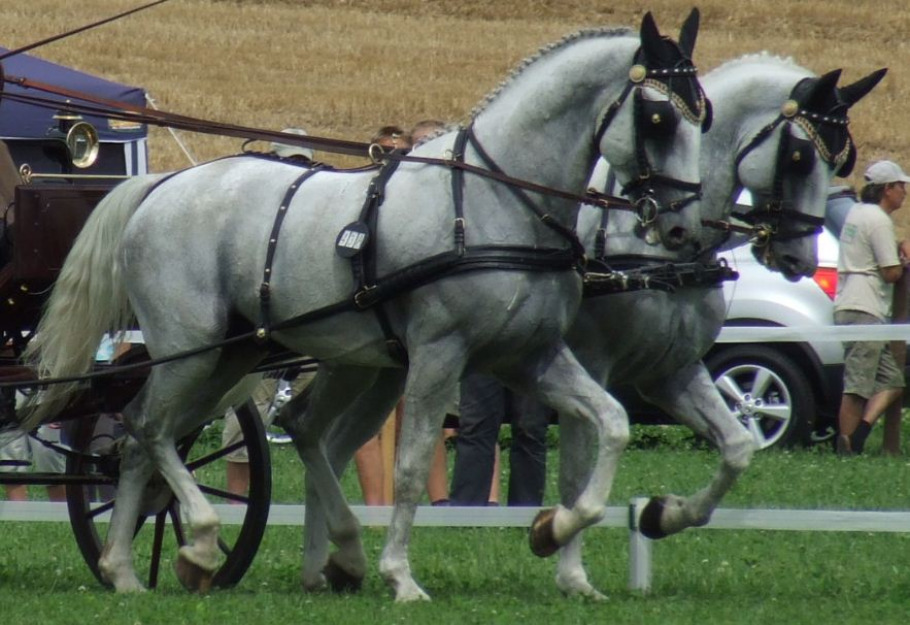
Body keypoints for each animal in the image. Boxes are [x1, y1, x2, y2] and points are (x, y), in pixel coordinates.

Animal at [17, 8, 708, 596]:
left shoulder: (529, 355)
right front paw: (401, 577)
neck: (495, 203)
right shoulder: (438, 355)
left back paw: (129, 570)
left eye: (702, 115)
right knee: (149, 428)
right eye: (657, 117)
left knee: (144, 443)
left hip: (236, 356)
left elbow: (613, 421)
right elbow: (410, 468)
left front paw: (557, 529)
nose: (681, 227)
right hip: (189, 348)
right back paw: (202, 542)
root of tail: (161, 185)